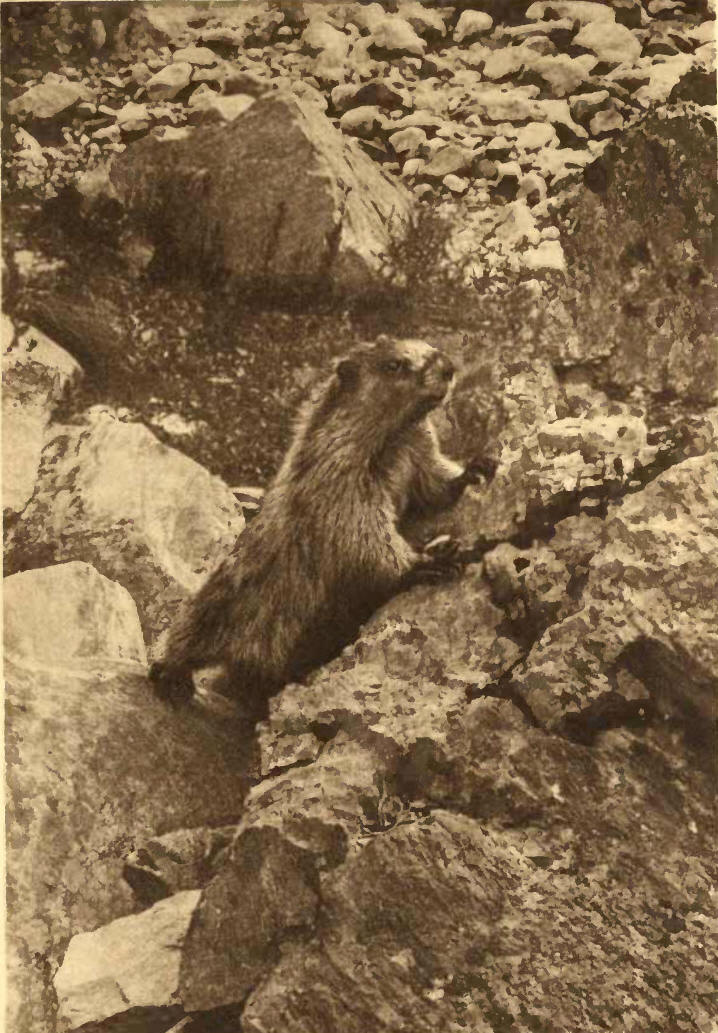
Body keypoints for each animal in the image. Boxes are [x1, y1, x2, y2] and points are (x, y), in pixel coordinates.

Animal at [149, 336, 494, 721]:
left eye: (429, 345)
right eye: (393, 365)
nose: (449, 367)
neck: (394, 436)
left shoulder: (417, 450)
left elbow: (432, 481)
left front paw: (475, 469)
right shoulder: (341, 479)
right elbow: (365, 533)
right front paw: (430, 558)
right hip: (221, 603)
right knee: (187, 634)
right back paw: (170, 673)